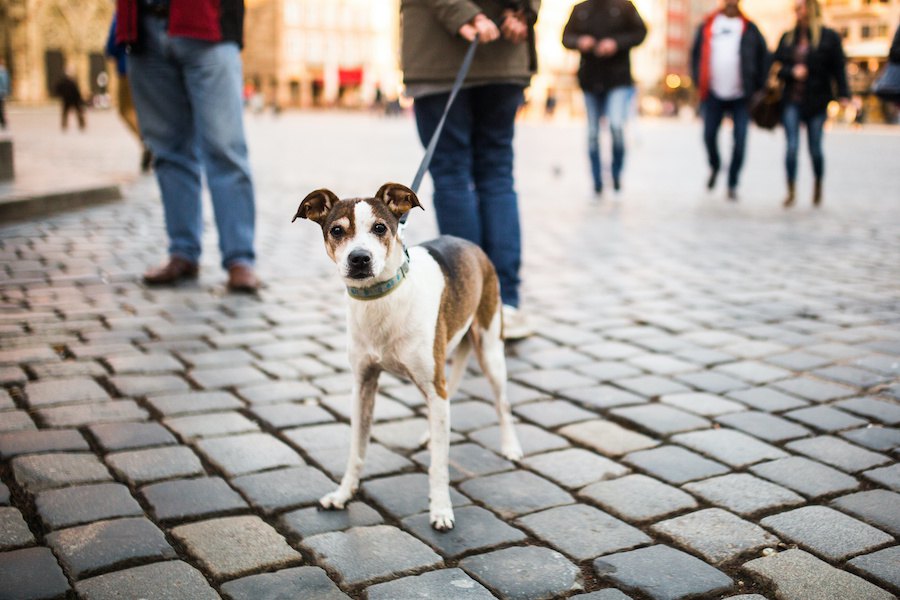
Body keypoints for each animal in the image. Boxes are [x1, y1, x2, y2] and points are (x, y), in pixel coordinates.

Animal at [292, 183, 524, 528]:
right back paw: (431, 435)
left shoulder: (434, 384)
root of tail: (470, 243)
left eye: (380, 228)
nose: (359, 258)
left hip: (490, 350)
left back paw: (510, 447)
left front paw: (441, 509)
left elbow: (438, 464)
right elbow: (356, 450)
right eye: (337, 230)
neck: (380, 298)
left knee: (502, 403)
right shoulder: (363, 386)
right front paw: (344, 494)